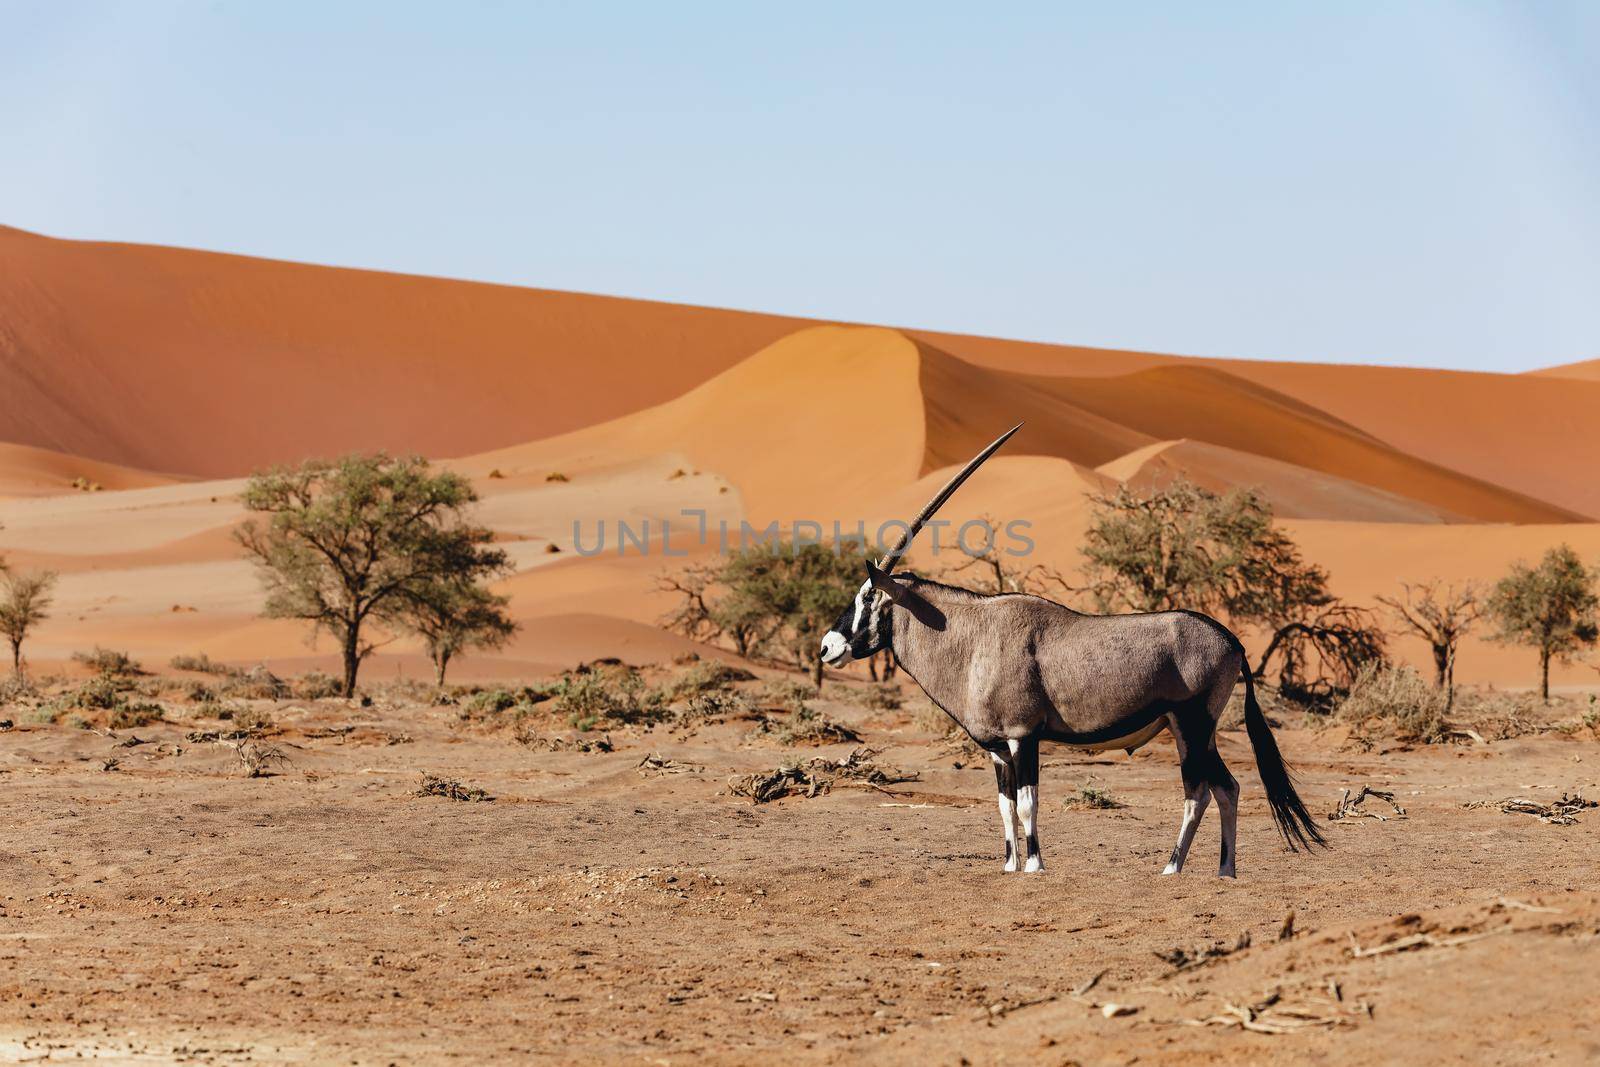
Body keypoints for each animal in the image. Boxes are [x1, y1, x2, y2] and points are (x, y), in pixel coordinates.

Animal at [812, 422, 1324, 876]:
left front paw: (1034, 865)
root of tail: (1230, 639)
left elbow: (1027, 804)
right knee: (1226, 788)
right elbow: (1003, 806)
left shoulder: (1023, 736)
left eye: (867, 596)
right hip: (1193, 730)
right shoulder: (997, 750)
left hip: (1192, 725)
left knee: (1199, 791)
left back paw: (1172, 868)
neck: (970, 636)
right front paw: (1009, 865)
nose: (826, 647)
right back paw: (1224, 871)